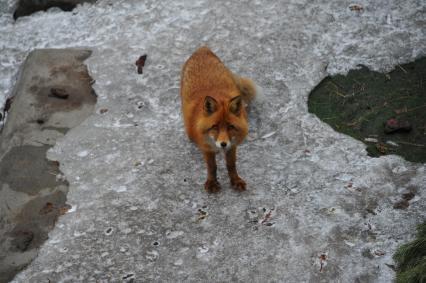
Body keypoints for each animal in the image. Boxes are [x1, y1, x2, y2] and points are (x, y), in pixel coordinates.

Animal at [179, 46, 262, 194]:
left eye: (230, 126)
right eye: (215, 126)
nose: (223, 144)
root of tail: (202, 48)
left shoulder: (232, 145)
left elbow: (231, 165)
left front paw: (235, 180)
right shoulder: (206, 147)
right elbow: (212, 167)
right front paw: (212, 183)